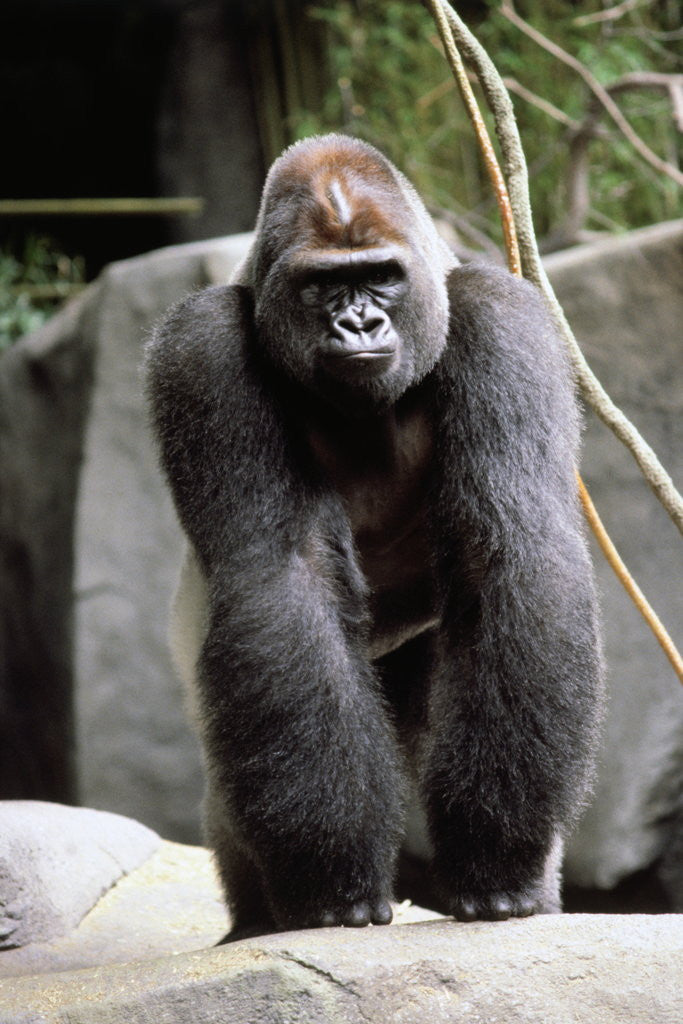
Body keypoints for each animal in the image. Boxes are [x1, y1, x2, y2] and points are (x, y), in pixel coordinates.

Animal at [145, 133, 603, 940]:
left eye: (380, 278)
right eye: (324, 286)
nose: (357, 324)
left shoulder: (504, 318)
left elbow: (511, 551)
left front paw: (497, 859)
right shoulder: (200, 348)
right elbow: (281, 577)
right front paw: (331, 877)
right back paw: (255, 920)